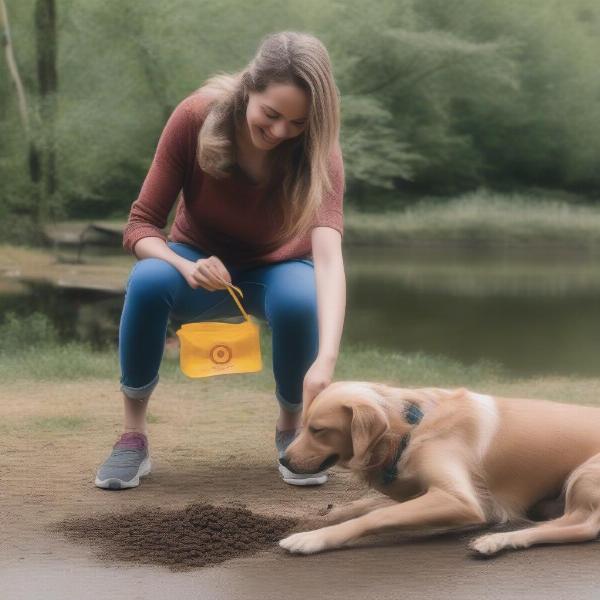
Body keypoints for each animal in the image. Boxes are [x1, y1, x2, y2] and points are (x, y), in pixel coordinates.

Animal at [278, 382, 600, 556]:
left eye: (318, 430)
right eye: (304, 425)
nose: (284, 460)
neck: (410, 426)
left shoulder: (460, 500)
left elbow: (377, 514)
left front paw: (314, 538)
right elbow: (362, 506)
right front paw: (315, 520)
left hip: (583, 474)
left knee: (586, 527)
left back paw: (498, 539)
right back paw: (502, 538)